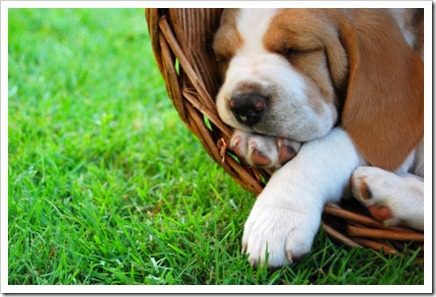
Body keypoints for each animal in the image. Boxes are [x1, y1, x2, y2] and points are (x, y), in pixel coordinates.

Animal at [213, 8, 424, 266]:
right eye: (224, 56)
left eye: (297, 49)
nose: (244, 104)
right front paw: (266, 142)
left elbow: (324, 148)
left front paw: (277, 216)